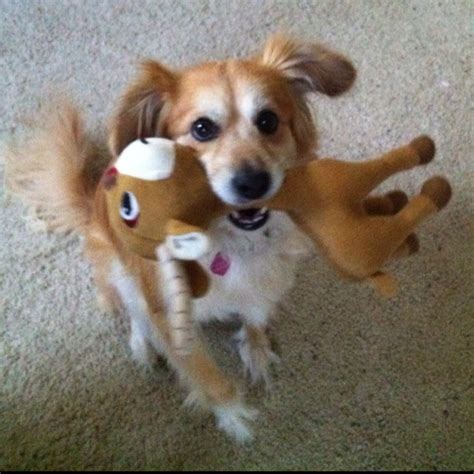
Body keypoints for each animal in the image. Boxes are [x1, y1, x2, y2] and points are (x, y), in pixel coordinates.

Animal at [7, 36, 358, 440]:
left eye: (268, 121)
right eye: (202, 128)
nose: (253, 183)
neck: (223, 239)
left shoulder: (270, 275)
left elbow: (254, 314)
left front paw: (255, 348)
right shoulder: (167, 307)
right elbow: (206, 376)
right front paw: (234, 418)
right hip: (114, 264)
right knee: (130, 308)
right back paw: (143, 345)